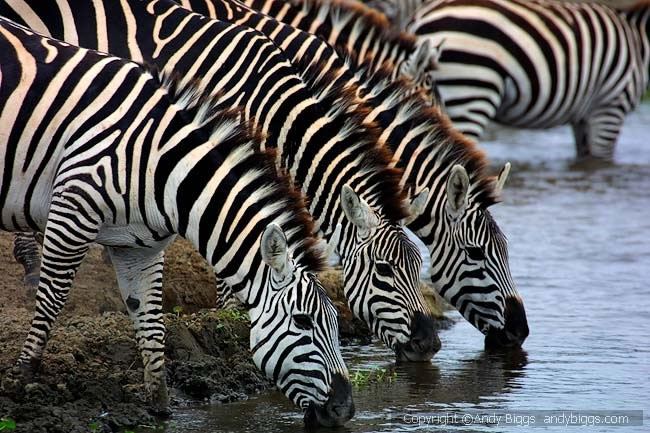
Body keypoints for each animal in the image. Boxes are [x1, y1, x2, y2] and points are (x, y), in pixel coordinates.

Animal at [0, 15, 354, 424]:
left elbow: (151, 325)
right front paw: (24, 375)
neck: (163, 169)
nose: (346, 409)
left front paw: (160, 408)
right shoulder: (72, 208)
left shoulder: (138, 248)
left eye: (337, 323)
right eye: (303, 322)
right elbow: (52, 297)